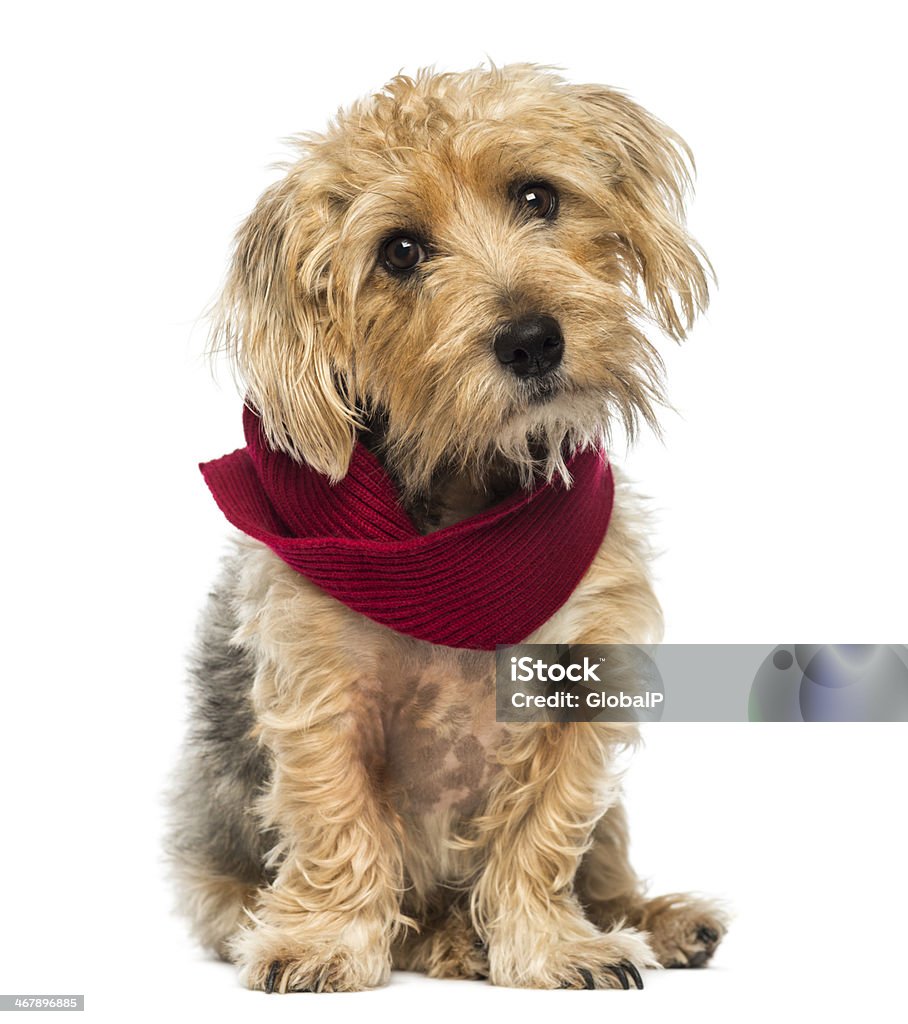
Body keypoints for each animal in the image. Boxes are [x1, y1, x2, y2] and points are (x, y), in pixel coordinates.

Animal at [166, 64, 728, 991]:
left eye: (537, 196)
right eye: (401, 251)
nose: (532, 340)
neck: (466, 521)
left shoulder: (584, 679)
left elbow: (545, 831)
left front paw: (555, 945)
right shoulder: (322, 691)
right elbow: (337, 821)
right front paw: (324, 942)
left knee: (606, 866)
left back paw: (653, 920)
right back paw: (447, 938)